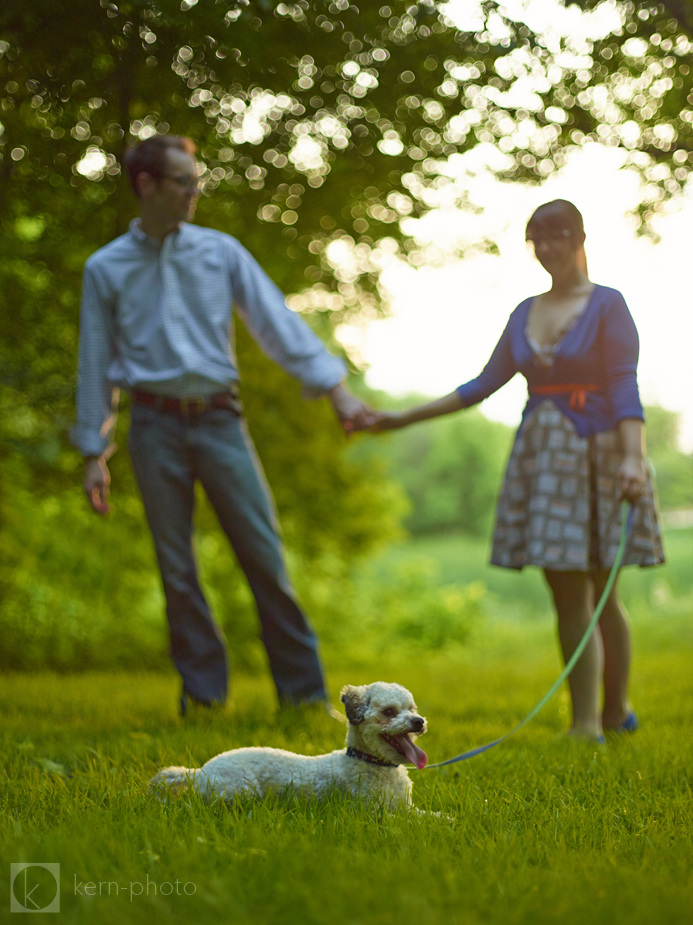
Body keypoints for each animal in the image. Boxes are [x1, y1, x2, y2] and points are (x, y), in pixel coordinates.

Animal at [151, 680, 428, 808]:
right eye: (389, 712)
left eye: (412, 709)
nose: (419, 721)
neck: (370, 762)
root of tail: (200, 772)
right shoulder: (377, 812)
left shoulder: (406, 807)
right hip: (241, 790)